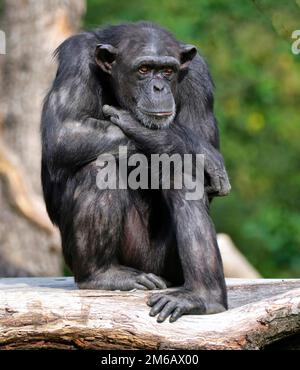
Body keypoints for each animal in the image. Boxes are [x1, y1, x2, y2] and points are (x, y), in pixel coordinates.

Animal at [41, 21, 231, 320]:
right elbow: (64, 132)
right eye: (143, 70)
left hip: (165, 264)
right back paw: (102, 275)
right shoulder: (76, 59)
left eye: (167, 71)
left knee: (181, 174)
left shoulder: (198, 76)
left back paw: (203, 297)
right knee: (100, 167)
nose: (159, 87)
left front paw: (158, 134)